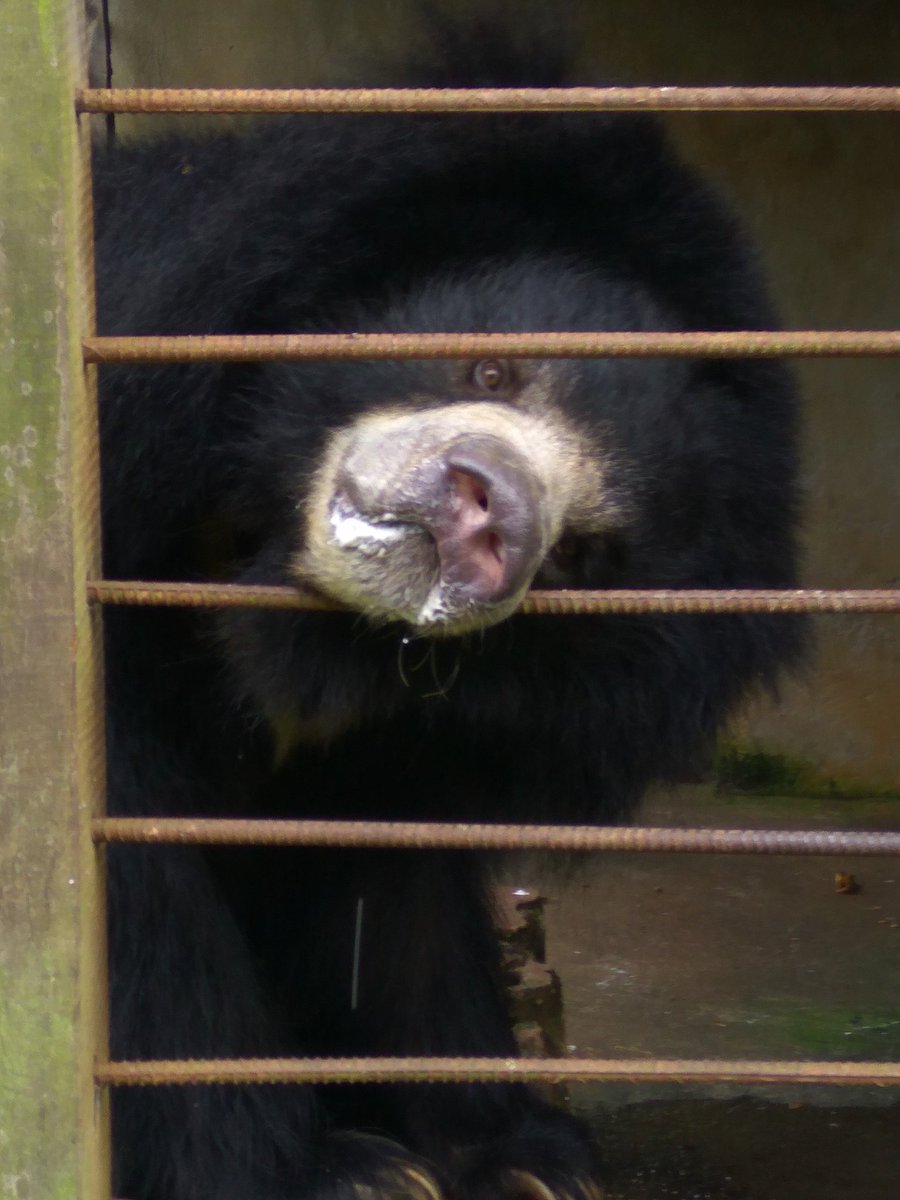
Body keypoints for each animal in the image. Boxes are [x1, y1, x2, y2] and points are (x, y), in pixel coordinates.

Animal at [93, 11, 803, 1200]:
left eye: (580, 556)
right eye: (492, 367)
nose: (488, 517)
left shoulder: (423, 731)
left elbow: (392, 896)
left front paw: (514, 1155)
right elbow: (135, 893)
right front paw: (321, 1172)